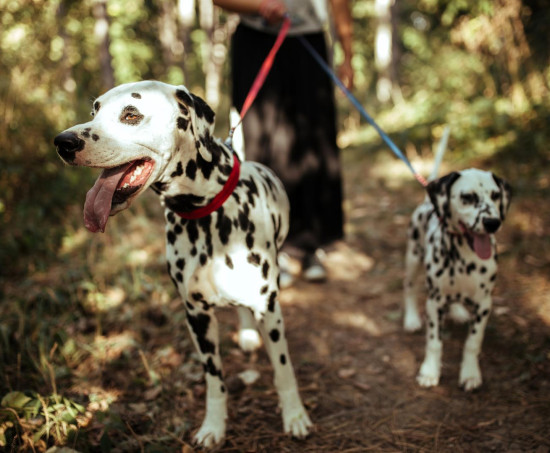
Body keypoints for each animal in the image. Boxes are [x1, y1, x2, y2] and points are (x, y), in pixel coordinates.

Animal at [56, 80, 314, 444]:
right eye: (95, 110)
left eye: (131, 115)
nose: (63, 142)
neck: (205, 210)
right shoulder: (197, 316)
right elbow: (214, 380)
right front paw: (214, 425)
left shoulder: (269, 308)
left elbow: (283, 368)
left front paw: (294, 415)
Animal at [404, 155, 516, 388]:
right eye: (468, 197)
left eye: (495, 195)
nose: (492, 222)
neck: (464, 257)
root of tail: (427, 202)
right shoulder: (434, 303)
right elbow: (434, 342)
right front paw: (429, 371)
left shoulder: (484, 305)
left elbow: (473, 342)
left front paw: (470, 373)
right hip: (413, 258)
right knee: (409, 288)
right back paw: (411, 319)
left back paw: (457, 311)